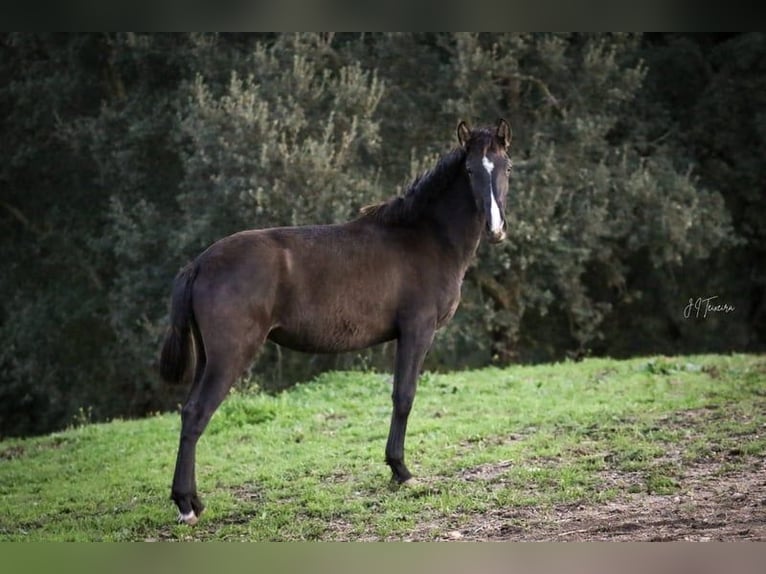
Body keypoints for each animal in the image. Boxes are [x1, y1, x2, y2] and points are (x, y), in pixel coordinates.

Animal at [160, 120, 512, 528]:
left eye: (506, 167)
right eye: (470, 170)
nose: (495, 229)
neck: (425, 237)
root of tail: (200, 263)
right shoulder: (417, 331)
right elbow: (404, 396)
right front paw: (401, 471)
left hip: (208, 358)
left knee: (188, 412)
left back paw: (193, 501)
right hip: (229, 356)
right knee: (197, 414)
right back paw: (186, 506)